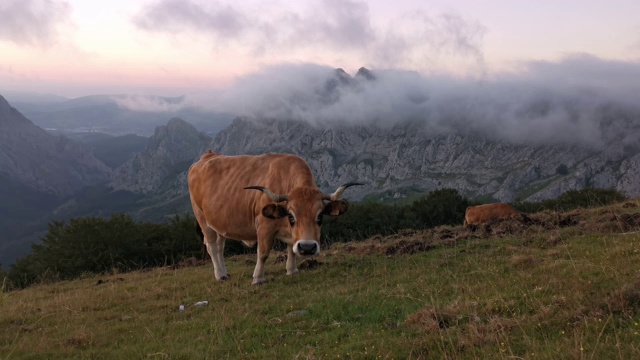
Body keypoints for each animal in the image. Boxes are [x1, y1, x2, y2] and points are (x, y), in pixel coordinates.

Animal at [188, 150, 362, 286]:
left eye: (320, 216)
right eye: (291, 216)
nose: (307, 248)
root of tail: (207, 156)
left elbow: (291, 249)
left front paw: (292, 270)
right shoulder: (265, 226)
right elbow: (263, 253)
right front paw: (258, 278)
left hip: (218, 224)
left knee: (220, 247)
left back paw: (225, 272)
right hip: (202, 218)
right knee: (212, 246)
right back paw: (220, 275)